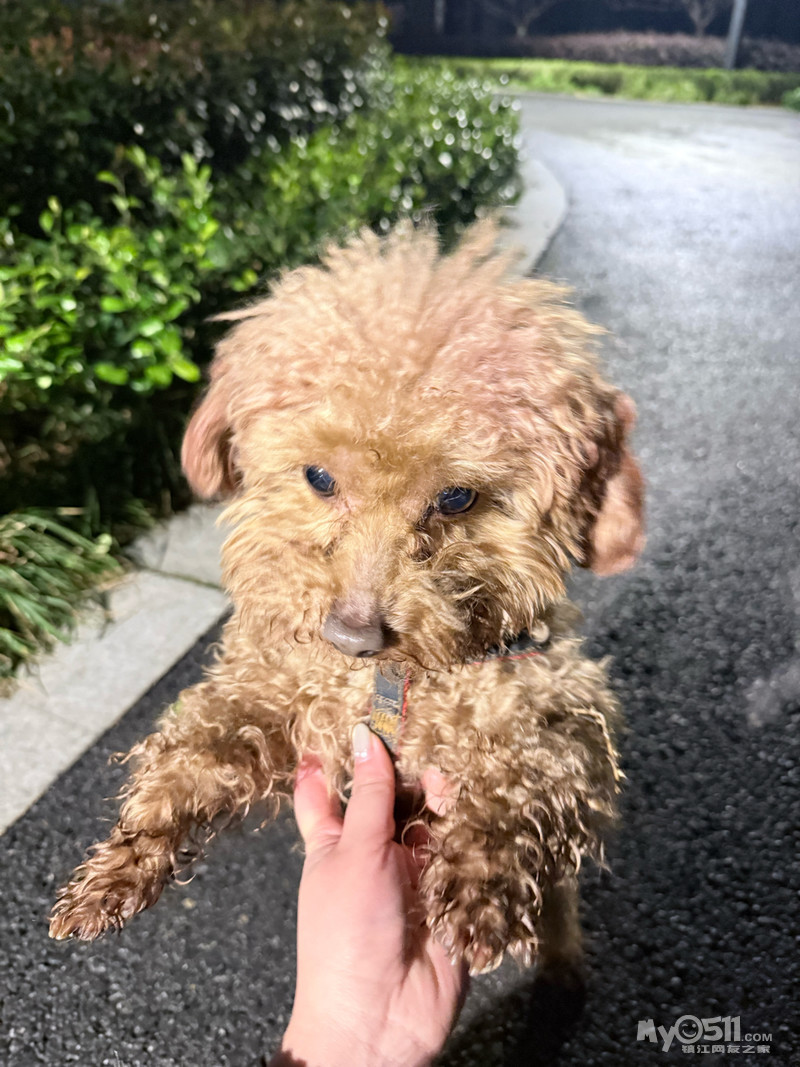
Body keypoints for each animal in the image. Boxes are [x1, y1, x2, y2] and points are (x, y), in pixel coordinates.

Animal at [50, 220, 644, 976]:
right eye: (318, 478)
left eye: (457, 497)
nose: (353, 636)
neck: (388, 682)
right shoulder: (273, 682)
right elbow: (200, 742)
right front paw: (122, 864)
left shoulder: (562, 708)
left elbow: (529, 773)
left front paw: (481, 884)